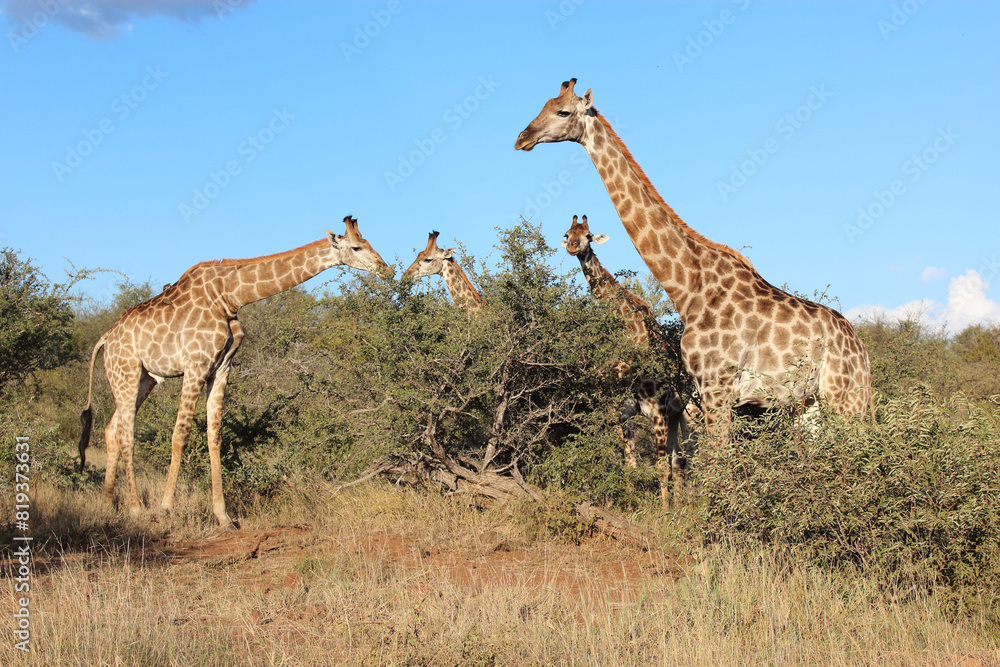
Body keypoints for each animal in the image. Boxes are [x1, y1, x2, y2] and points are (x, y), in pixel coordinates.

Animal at [77, 216, 390, 529]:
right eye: (356, 246)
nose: (386, 268)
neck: (229, 296)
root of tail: (106, 338)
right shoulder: (195, 365)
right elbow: (180, 434)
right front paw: (166, 508)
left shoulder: (221, 368)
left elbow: (215, 435)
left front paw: (223, 517)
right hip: (126, 373)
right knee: (126, 433)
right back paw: (136, 509)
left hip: (144, 379)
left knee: (112, 428)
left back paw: (107, 503)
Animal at [516, 79, 872, 444]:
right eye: (544, 105)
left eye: (563, 111)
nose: (522, 138)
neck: (687, 287)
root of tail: (861, 347)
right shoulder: (705, 390)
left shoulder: (719, 387)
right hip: (810, 403)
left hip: (846, 398)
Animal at [561, 214, 693, 505]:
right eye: (567, 233)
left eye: (588, 235)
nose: (574, 247)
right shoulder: (624, 412)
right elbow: (631, 463)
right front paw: (633, 504)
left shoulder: (658, 412)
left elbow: (659, 467)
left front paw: (664, 512)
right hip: (675, 417)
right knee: (679, 462)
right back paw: (682, 505)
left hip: (687, 415)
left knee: (687, 458)